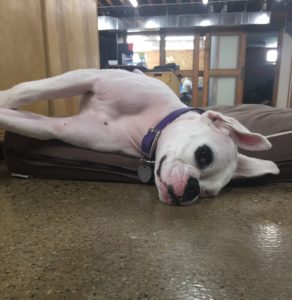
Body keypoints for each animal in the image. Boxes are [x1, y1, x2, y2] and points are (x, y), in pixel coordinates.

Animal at [0, 68, 278, 205]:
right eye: (204, 154)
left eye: (208, 194)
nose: (192, 189)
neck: (150, 124)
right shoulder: (89, 75)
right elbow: (23, 91)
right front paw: (5, 97)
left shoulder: (58, 127)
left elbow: (23, 119)